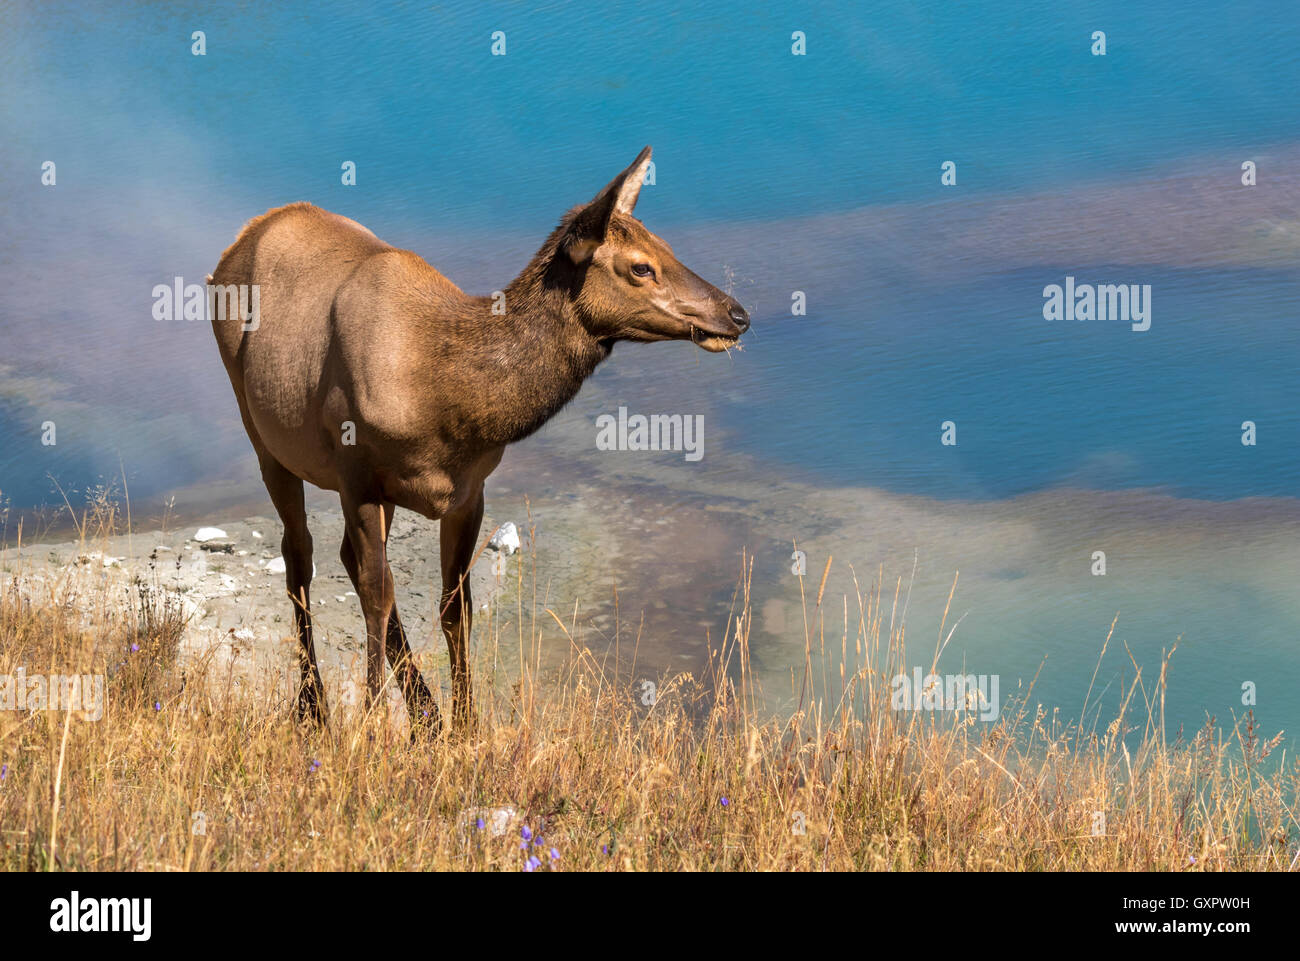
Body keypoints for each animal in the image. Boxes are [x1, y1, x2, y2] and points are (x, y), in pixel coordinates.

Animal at [211, 146, 754, 733]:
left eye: (668, 247)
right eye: (640, 266)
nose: (737, 313)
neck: (446, 403)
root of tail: (242, 237)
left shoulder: (470, 490)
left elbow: (455, 606)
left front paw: (464, 726)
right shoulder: (356, 475)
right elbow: (377, 596)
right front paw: (373, 725)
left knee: (344, 558)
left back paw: (423, 715)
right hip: (259, 429)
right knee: (301, 555)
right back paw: (315, 708)